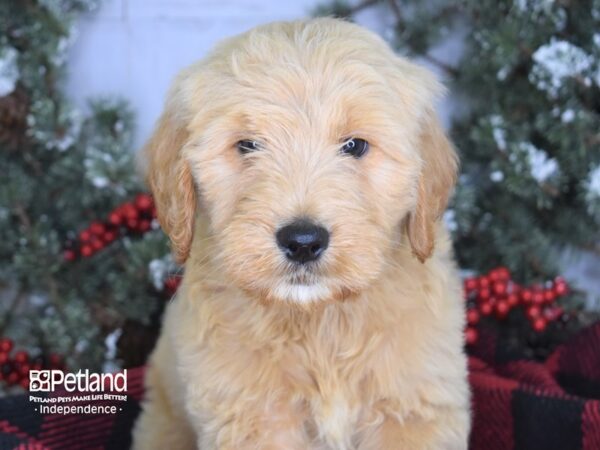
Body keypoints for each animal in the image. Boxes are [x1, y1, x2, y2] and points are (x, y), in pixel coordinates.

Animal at [131, 17, 468, 450]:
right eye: (247, 144)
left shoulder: (414, 409)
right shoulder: (254, 418)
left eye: (355, 145)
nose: (303, 242)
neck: (319, 321)